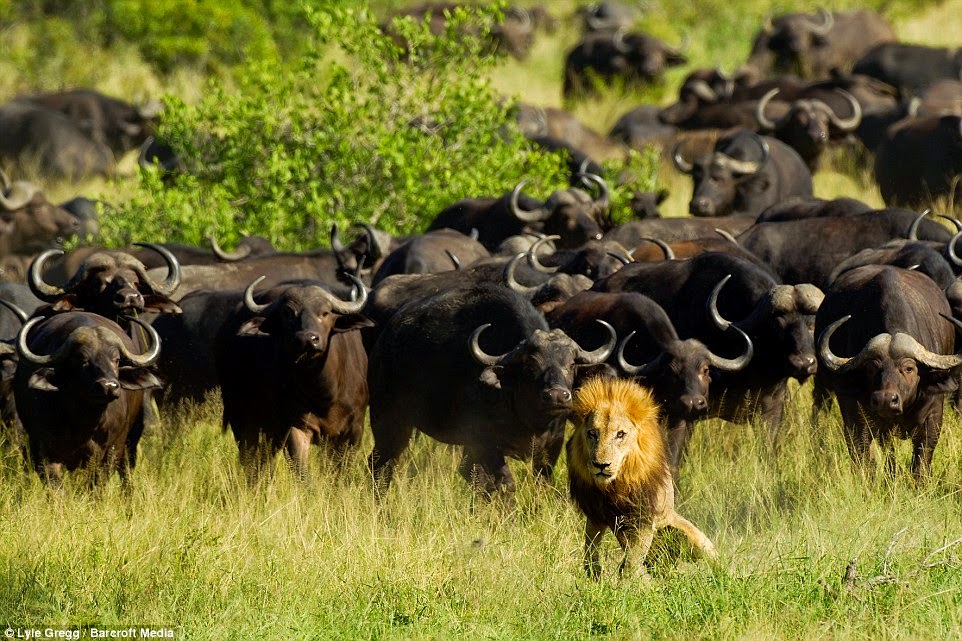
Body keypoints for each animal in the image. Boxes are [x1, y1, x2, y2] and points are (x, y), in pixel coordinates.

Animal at [13, 312, 161, 482]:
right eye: (82, 360)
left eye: (116, 360)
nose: (108, 386)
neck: (85, 423)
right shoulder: (43, 448)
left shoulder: (112, 450)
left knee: (127, 471)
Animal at [216, 276, 370, 480]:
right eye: (288, 313)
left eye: (325, 312)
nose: (307, 339)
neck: (323, 392)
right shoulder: (295, 427)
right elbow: (302, 472)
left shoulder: (354, 428)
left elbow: (340, 472)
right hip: (242, 417)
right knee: (253, 462)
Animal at [568, 378, 712, 576]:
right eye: (592, 433)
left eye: (620, 434)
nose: (601, 465)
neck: (614, 486)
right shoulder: (595, 515)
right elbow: (590, 555)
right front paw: (595, 578)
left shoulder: (644, 520)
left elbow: (629, 565)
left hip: (692, 536)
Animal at [812, 264, 956, 476]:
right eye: (872, 367)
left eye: (909, 368)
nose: (885, 400)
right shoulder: (857, 415)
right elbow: (869, 457)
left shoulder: (933, 414)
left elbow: (921, 460)